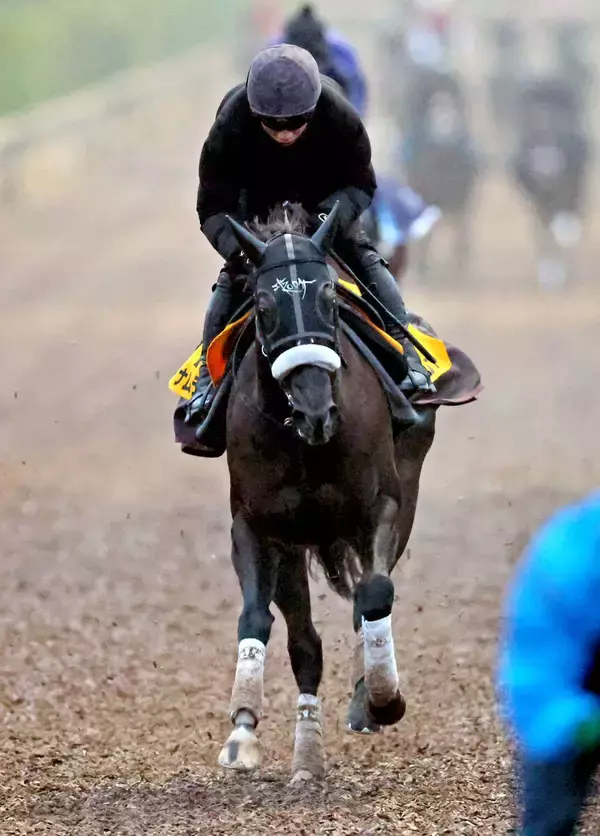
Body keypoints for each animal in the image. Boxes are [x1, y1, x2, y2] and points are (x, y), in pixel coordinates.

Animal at [215, 203, 437, 782]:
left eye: (332, 299)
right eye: (264, 306)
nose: (317, 410)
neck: (306, 443)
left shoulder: (381, 508)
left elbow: (374, 595)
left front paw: (381, 698)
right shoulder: (258, 526)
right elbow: (260, 620)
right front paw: (242, 730)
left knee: (365, 602)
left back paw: (364, 700)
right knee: (305, 643)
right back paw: (306, 756)